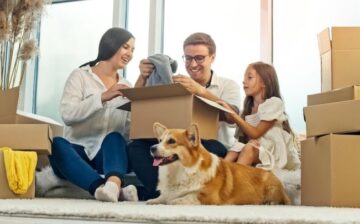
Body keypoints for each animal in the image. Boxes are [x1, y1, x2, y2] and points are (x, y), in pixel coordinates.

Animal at [148, 122, 292, 205]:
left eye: (171, 141)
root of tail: (270, 172)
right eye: (160, 140)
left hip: (272, 189)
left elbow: (180, 199)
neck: (183, 170)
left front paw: (171, 201)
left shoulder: (208, 197)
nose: (152, 148)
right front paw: (153, 201)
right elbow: (163, 197)